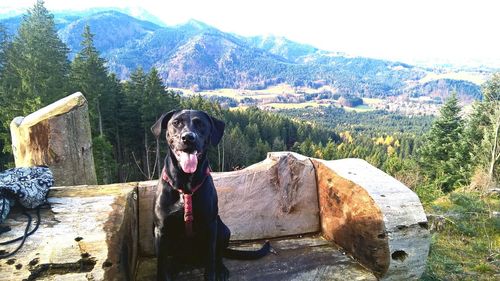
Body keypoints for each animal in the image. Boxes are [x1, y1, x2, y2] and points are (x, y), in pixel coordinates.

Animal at [152, 110, 272, 280]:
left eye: (200, 124)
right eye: (176, 123)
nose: (188, 137)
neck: (186, 186)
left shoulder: (210, 226)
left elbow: (211, 259)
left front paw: (213, 272)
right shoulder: (161, 231)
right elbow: (161, 264)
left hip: (223, 229)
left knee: (218, 255)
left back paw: (220, 269)